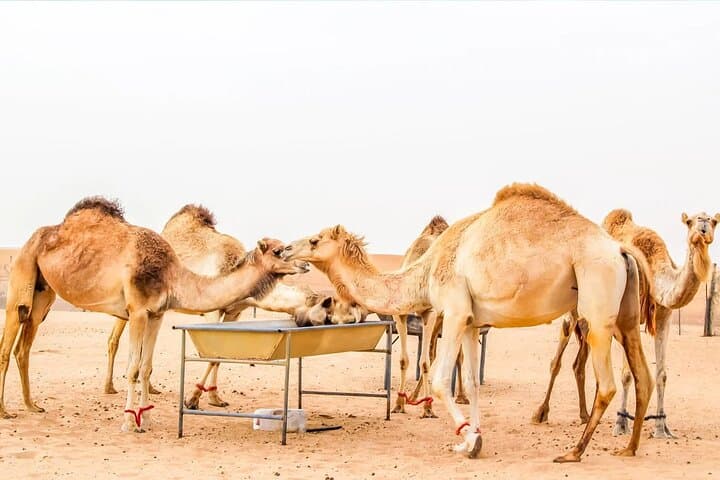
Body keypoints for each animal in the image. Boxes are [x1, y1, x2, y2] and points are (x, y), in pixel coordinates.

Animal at [0, 197, 307, 432]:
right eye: (279, 250)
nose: (304, 265)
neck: (172, 275)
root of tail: (34, 237)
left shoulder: (156, 314)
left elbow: (146, 367)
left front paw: (146, 419)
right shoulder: (138, 311)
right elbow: (134, 369)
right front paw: (129, 422)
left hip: (43, 293)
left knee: (23, 348)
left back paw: (32, 405)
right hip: (22, 274)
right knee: (7, 344)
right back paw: (5, 411)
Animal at [104, 204, 360, 409]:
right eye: (330, 310)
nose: (305, 264)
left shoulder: (234, 313)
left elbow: (220, 355)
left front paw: (214, 398)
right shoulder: (212, 312)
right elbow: (211, 354)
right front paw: (193, 399)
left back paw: (151, 388)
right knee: (114, 339)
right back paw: (109, 387)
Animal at [282, 183, 654, 462]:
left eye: (314, 240)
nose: (285, 249)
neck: (426, 270)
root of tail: (620, 249)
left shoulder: (454, 310)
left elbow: (439, 380)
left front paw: (466, 440)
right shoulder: (473, 322)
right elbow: (473, 384)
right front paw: (474, 436)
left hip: (597, 302)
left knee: (607, 384)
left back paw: (574, 451)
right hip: (625, 315)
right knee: (643, 376)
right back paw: (629, 447)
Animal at [533, 209, 718, 439]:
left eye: (714, 221)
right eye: (690, 221)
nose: (703, 225)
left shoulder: (664, 316)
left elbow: (662, 374)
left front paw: (661, 427)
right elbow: (627, 375)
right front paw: (621, 423)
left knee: (579, 364)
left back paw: (585, 415)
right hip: (571, 312)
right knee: (557, 360)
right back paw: (541, 413)